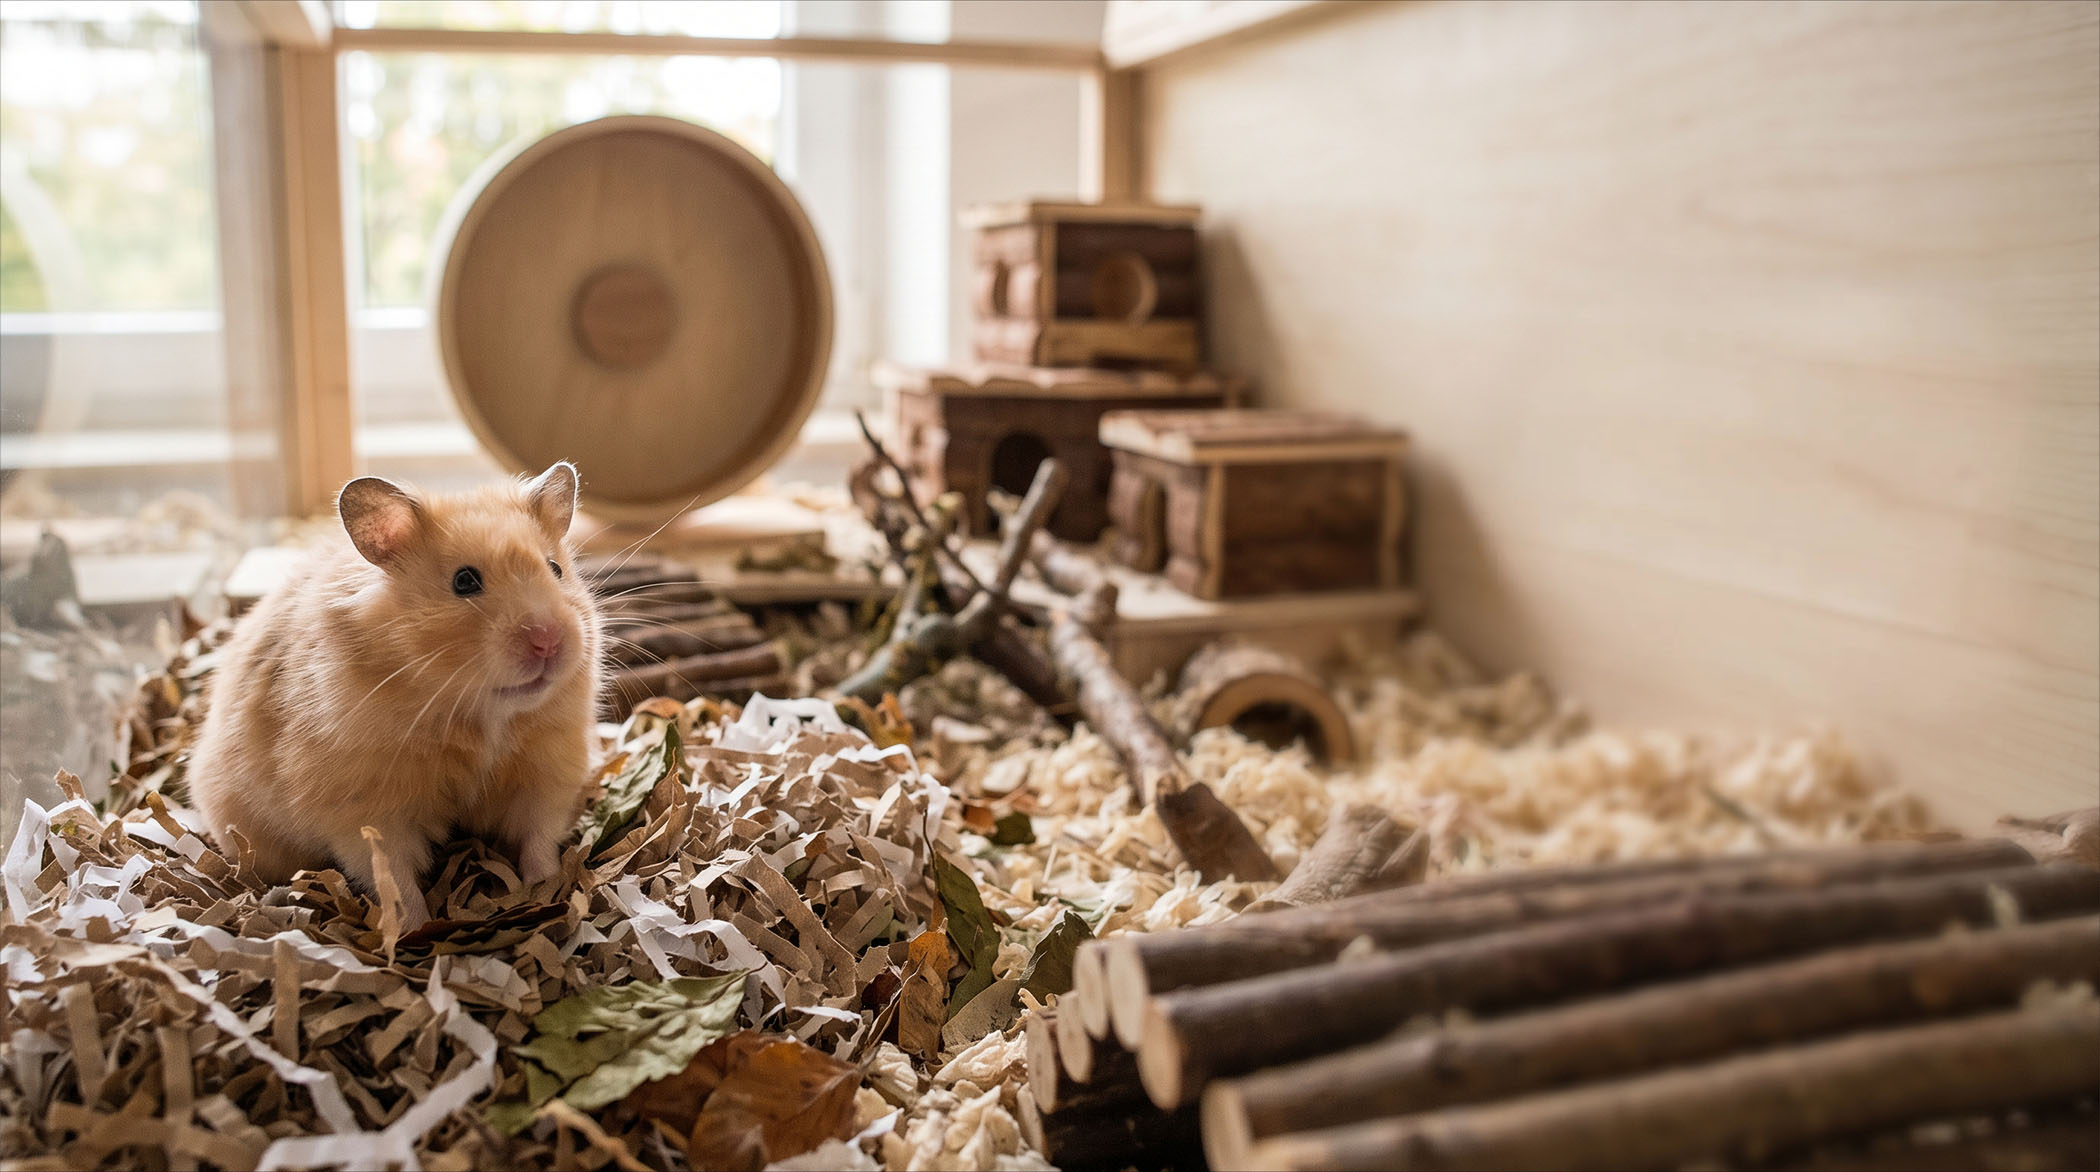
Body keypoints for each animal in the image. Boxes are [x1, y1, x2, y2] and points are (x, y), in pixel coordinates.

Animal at [187, 462, 604, 928]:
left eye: (555, 569)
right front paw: (415, 928)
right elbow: (392, 876)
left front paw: (545, 888)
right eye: (465, 581)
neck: (480, 712)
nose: (548, 643)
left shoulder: (547, 769)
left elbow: (538, 837)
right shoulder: (365, 807)